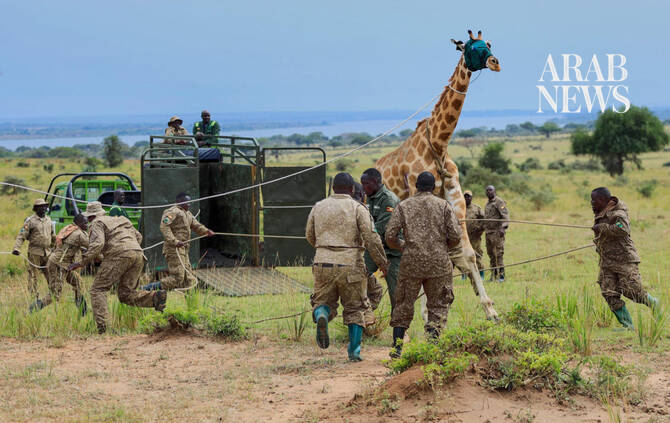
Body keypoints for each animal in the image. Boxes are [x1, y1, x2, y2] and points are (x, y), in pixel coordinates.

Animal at [375, 30, 501, 320]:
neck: (439, 144)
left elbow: (467, 254)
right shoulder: (417, 196)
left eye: (488, 44)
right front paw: (423, 313)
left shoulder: (456, 200)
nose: (495, 62)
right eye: (469, 46)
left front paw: (491, 310)